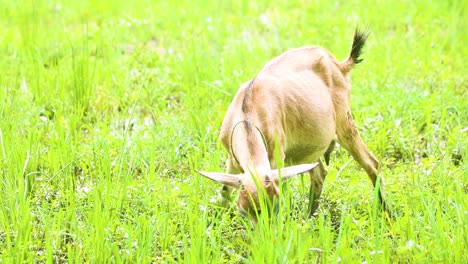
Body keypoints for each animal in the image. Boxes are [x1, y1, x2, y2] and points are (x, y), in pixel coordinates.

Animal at [200, 28, 388, 223]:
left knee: (372, 164)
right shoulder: (232, 159)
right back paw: (309, 217)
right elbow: (224, 193)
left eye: (275, 206)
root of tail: (338, 64)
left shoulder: (277, 157)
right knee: (320, 173)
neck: (248, 109)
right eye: (243, 211)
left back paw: (386, 214)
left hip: (345, 124)